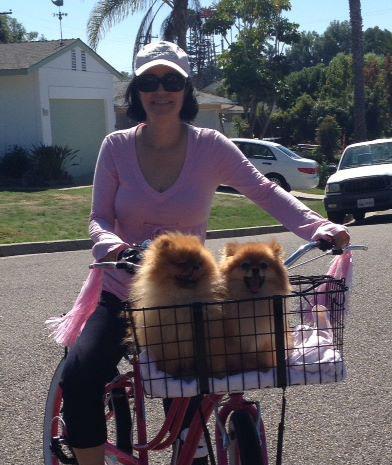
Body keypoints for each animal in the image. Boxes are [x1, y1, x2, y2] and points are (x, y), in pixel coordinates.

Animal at [129, 232, 227, 376]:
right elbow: (170, 364)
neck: (185, 301)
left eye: (199, 263)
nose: (196, 266)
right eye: (182, 262)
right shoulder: (169, 344)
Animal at [220, 241, 290, 372]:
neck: (253, 301)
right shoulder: (234, 340)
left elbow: (266, 357)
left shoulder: (267, 339)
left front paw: (267, 368)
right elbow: (237, 358)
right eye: (245, 265)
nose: (256, 269)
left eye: (264, 265)